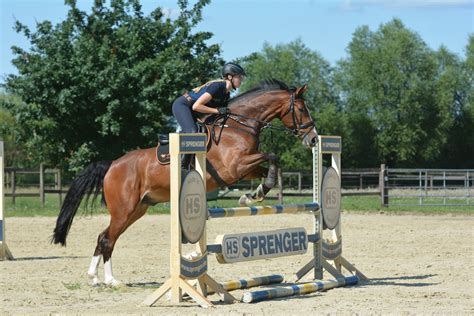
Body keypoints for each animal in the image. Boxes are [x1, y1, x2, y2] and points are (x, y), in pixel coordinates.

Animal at [51, 79, 318, 286]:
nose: (314, 139)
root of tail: (112, 165)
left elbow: (270, 166)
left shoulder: (245, 169)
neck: (238, 125)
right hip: (124, 210)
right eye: (301, 109)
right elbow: (273, 156)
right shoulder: (234, 167)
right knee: (107, 238)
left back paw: (95, 278)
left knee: (105, 237)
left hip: (137, 210)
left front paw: (254, 194)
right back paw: (110, 280)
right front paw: (257, 193)